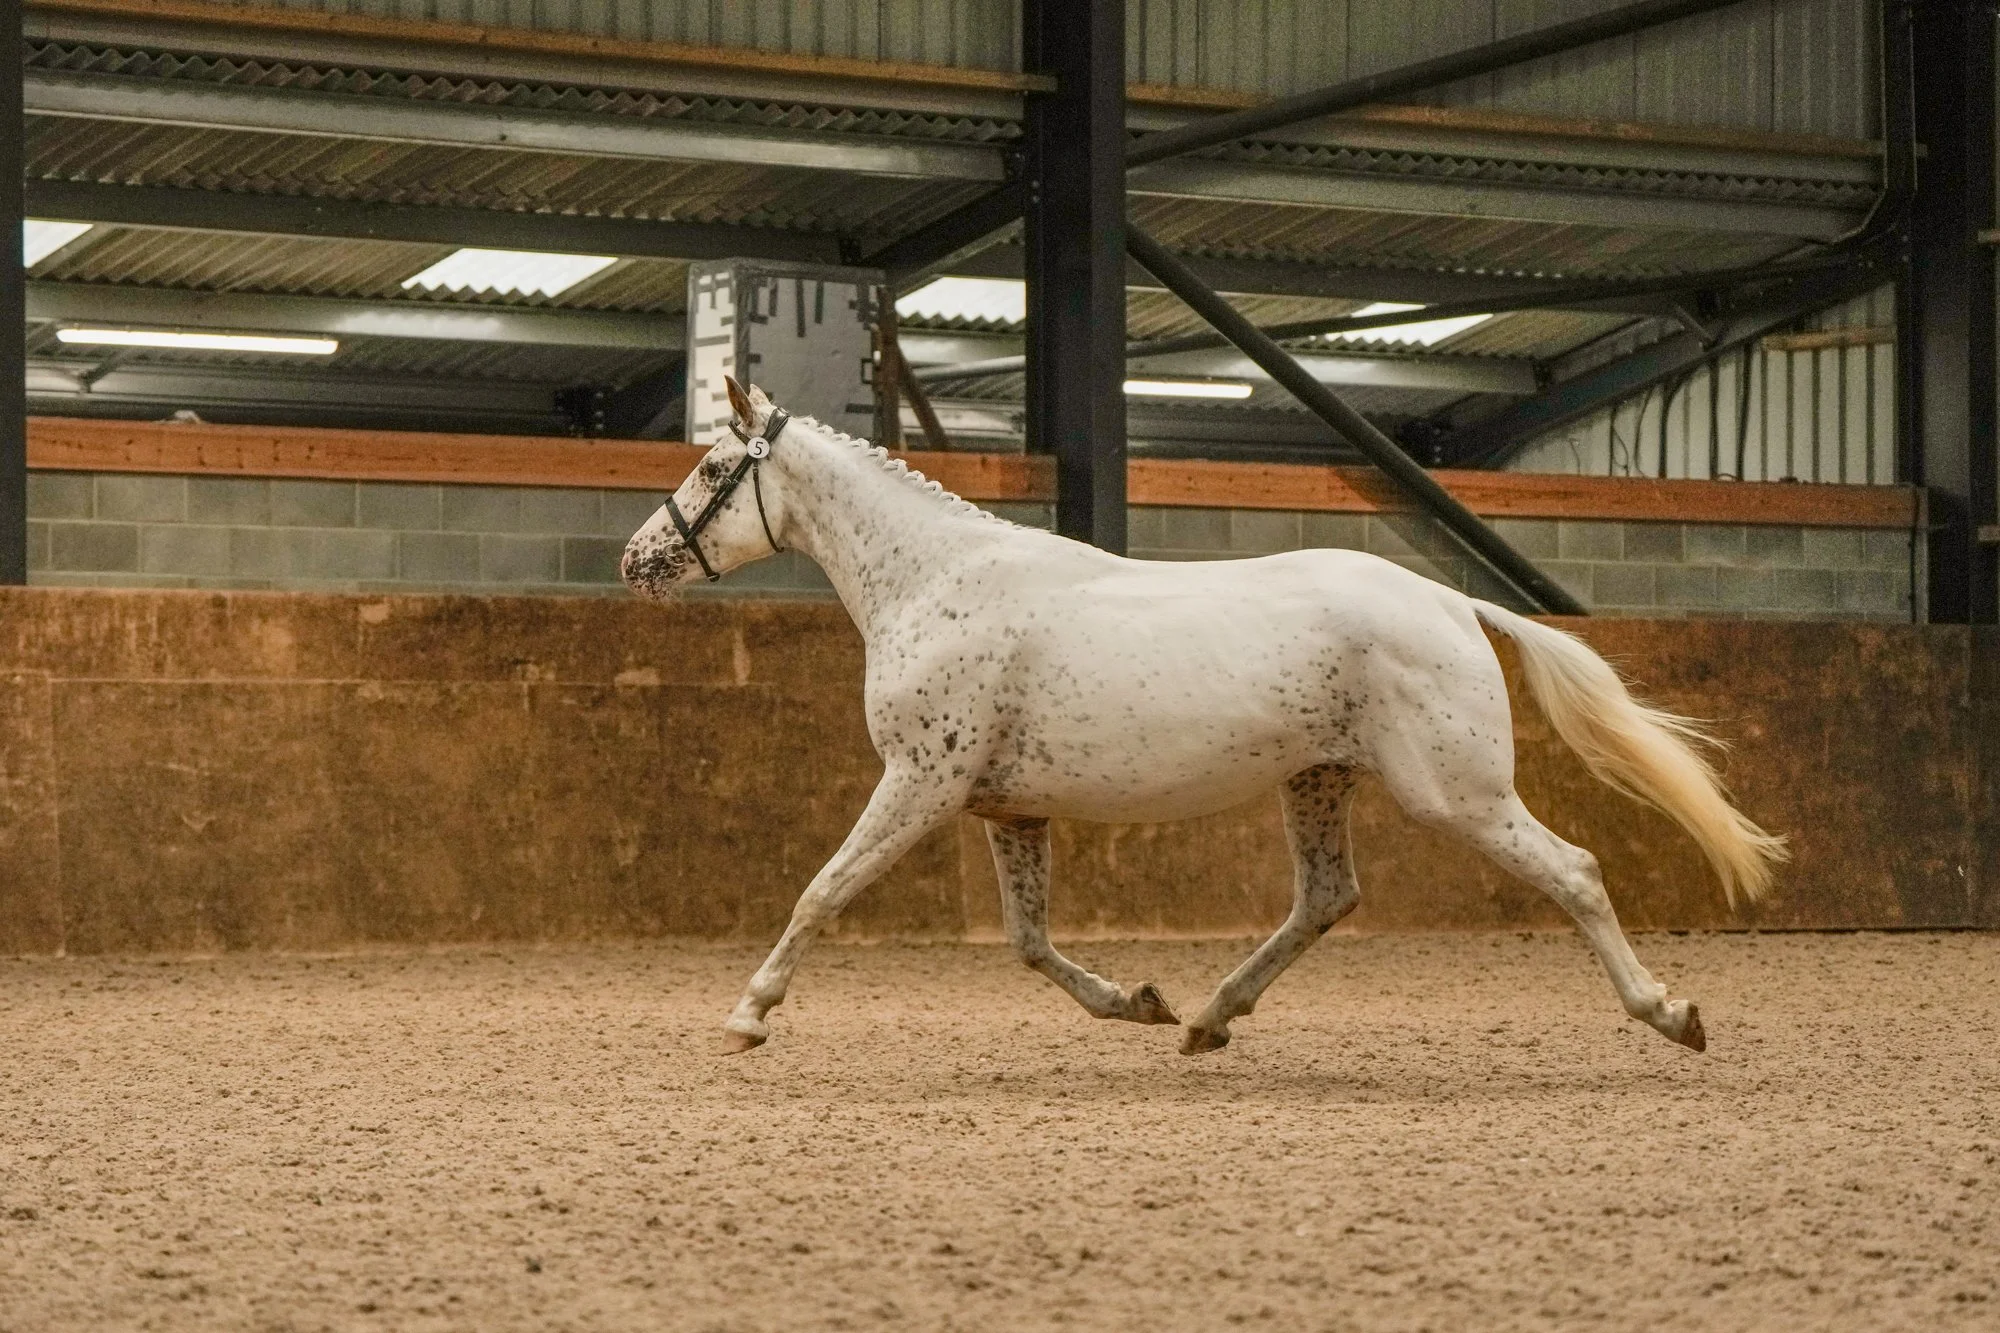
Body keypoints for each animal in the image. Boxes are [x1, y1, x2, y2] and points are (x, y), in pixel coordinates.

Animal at [621, 377, 1786, 1057]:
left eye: (715, 467)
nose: (636, 561)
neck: (936, 581)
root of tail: (1450, 600)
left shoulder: (920, 782)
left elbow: (822, 888)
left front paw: (749, 1012)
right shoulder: (1006, 808)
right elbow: (1029, 943)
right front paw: (1137, 1002)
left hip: (1454, 791)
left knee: (1573, 871)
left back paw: (1669, 1014)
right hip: (1319, 780)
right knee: (1325, 896)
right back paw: (1209, 1019)